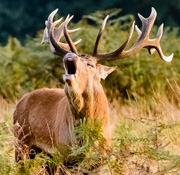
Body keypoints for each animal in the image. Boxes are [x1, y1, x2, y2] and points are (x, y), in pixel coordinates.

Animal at [13, 7, 173, 174]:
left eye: (90, 64)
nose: (69, 55)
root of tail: (20, 102)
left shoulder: (100, 159)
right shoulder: (64, 154)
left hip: (46, 156)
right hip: (21, 143)